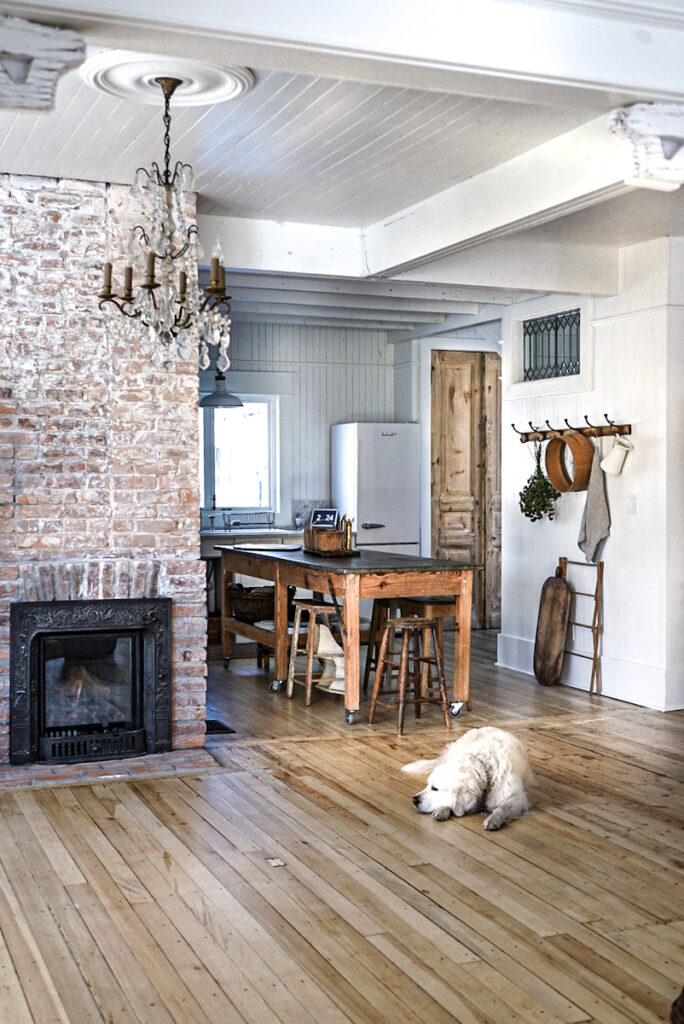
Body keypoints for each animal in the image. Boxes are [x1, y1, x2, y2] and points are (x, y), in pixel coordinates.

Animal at [401, 724, 532, 827]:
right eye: (428, 785)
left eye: (435, 788)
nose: (414, 799)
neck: (483, 765)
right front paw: (442, 810)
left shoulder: (517, 797)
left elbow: (502, 808)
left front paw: (493, 820)